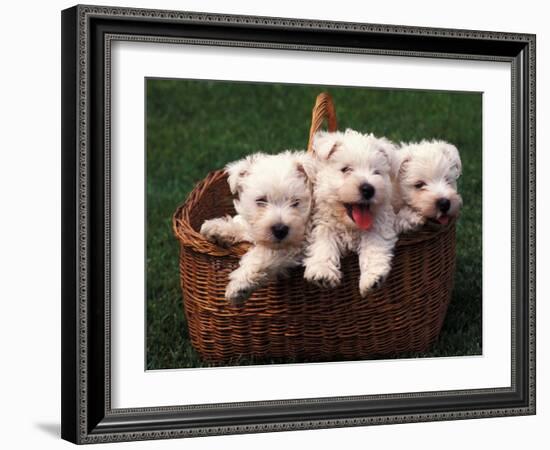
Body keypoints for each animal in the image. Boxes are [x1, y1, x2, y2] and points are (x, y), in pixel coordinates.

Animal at [202, 152, 314, 306]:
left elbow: (262, 255)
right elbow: (247, 228)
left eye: (295, 202)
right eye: (261, 200)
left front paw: (239, 286)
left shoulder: (298, 244)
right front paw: (216, 228)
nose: (280, 230)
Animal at [304, 128, 398, 298]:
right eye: (346, 169)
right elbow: (323, 242)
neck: (350, 226)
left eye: (377, 172)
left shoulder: (378, 223)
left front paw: (372, 278)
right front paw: (323, 272)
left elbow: (374, 244)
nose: (368, 189)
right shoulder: (321, 223)